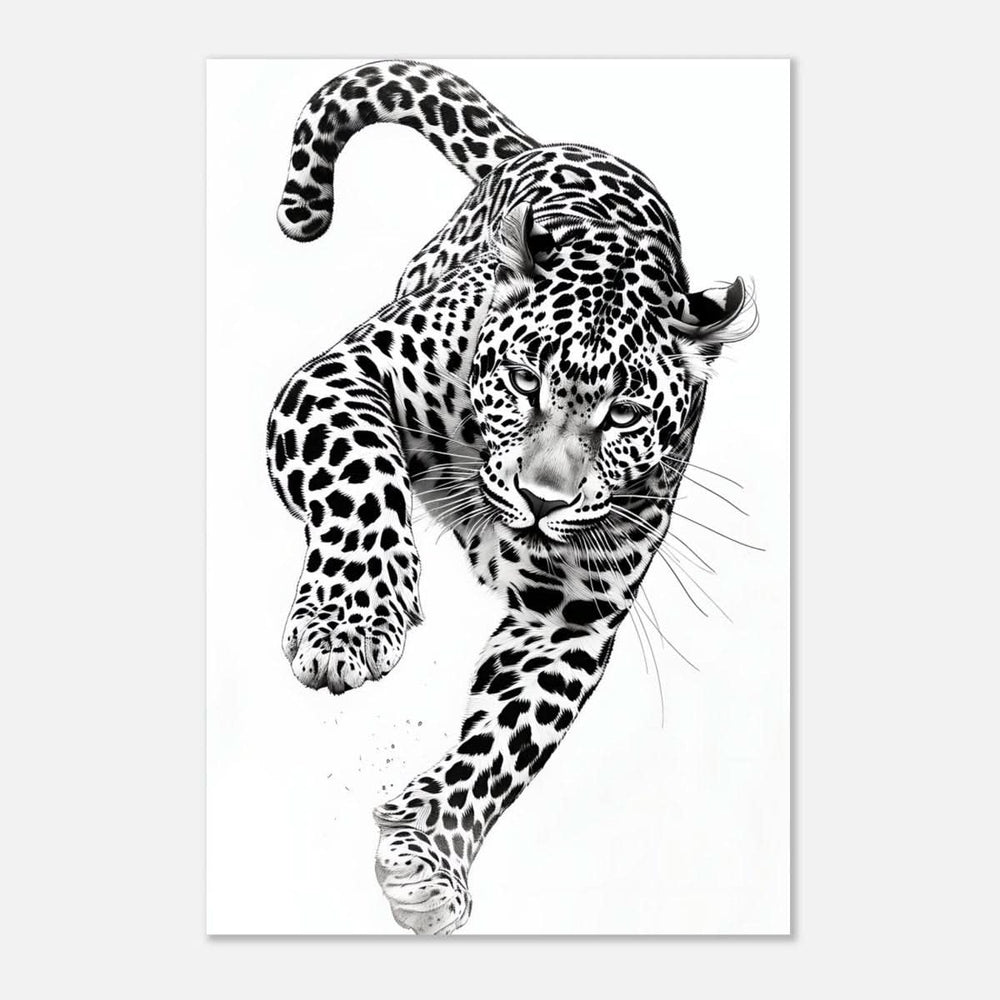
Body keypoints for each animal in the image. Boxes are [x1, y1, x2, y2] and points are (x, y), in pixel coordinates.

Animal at [267, 59, 757, 934]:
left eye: (623, 414)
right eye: (525, 381)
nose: (541, 500)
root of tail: (555, 143)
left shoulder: (571, 614)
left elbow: (505, 740)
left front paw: (428, 856)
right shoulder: (339, 377)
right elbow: (362, 479)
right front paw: (349, 623)